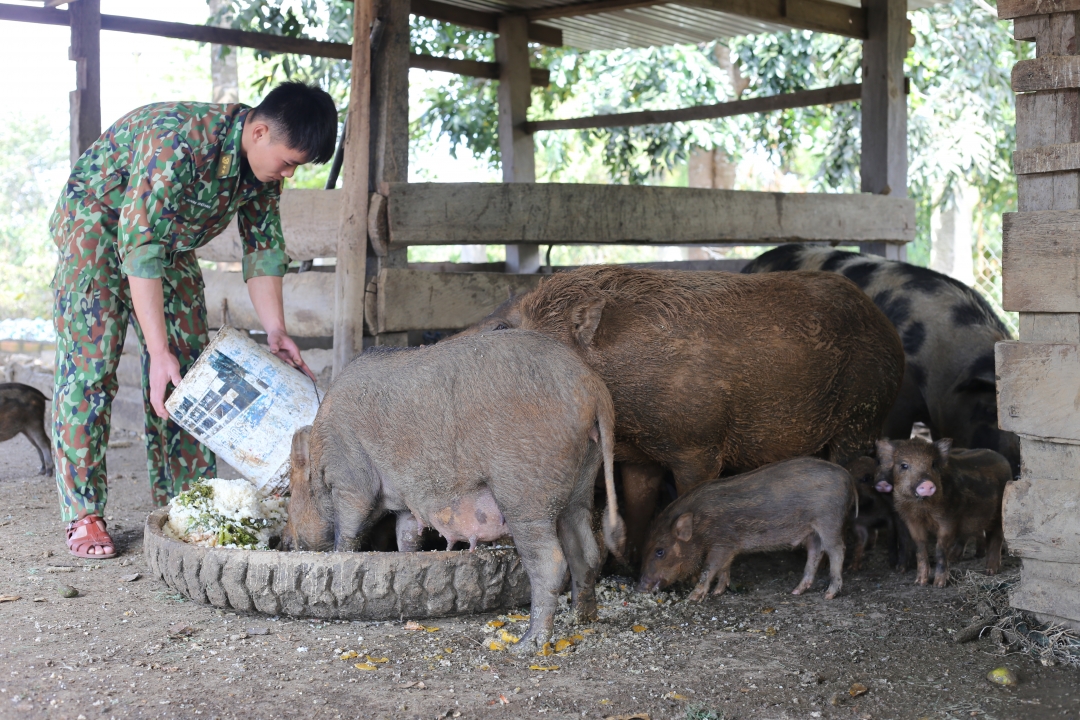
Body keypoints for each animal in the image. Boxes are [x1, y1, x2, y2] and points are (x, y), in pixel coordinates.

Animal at [460, 267, 907, 561]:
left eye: (502, 328)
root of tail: (885, 325)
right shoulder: (638, 456)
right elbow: (637, 506)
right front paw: (627, 565)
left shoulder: (699, 445)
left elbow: (692, 498)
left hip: (861, 418)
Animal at [635, 462, 855, 604]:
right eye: (644, 548)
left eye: (660, 551)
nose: (640, 587)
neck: (700, 527)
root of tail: (846, 475)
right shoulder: (729, 547)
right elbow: (724, 567)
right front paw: (717, 593)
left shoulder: (722, 542)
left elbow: (710, 567)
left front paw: (693, 598)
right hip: (812, 532)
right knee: (815, 552)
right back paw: (795, 592)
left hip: (829, 522)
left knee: (837, 550)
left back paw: (828, 595)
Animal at [876, 436, 1010, 587]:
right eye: (904, 465)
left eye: (933, 464)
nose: (927, 483)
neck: (923, 508)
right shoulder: (911, 520)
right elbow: (920, 547)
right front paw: (919, 582)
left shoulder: (949, 518)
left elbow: (940, 548)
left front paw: (939, 585)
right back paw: (955, 558)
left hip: (1000, 513)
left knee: (996, 537)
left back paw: (990, 571)